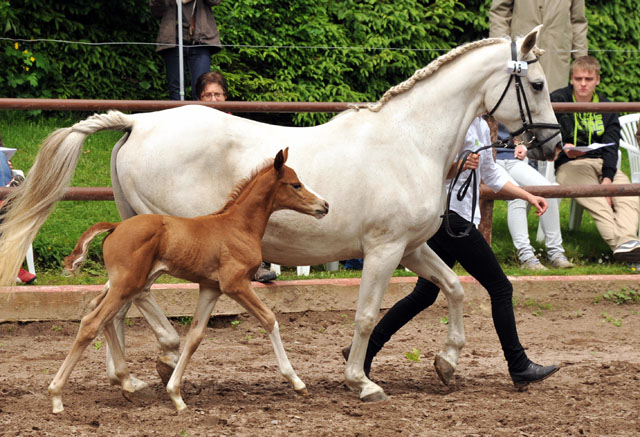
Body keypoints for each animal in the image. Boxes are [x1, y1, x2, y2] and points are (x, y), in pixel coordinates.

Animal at [48, 149, 330, 412]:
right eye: (296, 184)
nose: (325, 205)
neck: (238, 227)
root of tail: (116, 226)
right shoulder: (236, 284)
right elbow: (269, 319)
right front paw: (297, 382)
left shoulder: (211, 288)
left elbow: (195, 336)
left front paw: (176, 394)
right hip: (127, 283)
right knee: (91, 322)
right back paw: (57, 395)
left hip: (127, 283)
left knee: (101, 312)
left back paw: (126, 382)